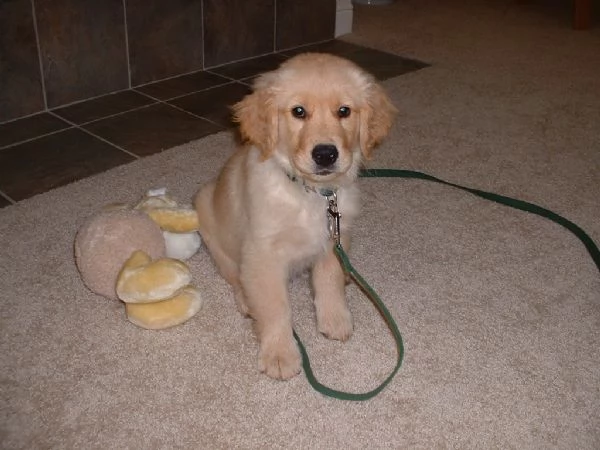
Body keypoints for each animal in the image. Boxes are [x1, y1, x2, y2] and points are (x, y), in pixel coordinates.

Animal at [195, 51, 396, 378]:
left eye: (344, 111)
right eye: (298, 112)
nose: (325, 154)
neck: (310, 193)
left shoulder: (333, 239)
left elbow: (328, 281)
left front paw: (335, 319)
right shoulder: (263, 253)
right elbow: (276, 308)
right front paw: (280, 354)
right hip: (209, 220)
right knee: (235, 275)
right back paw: (246, 300)